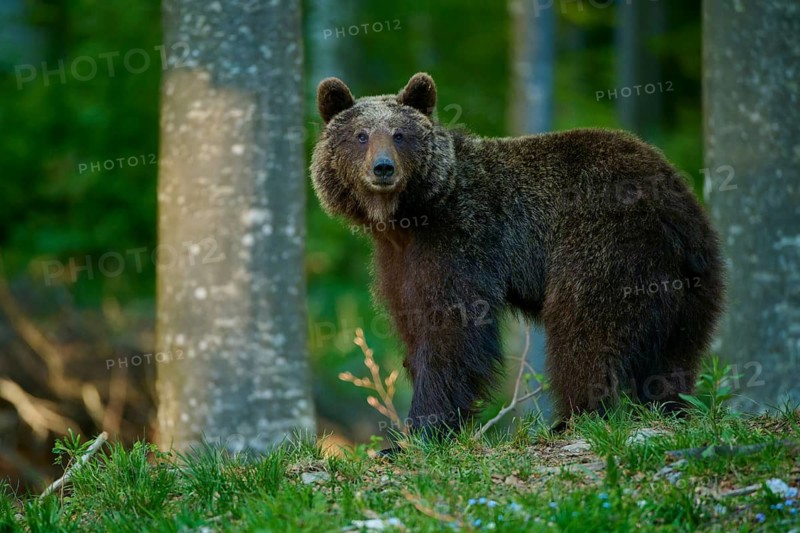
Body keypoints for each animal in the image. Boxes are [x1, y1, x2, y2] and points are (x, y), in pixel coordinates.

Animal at [310, 72, 725, 435]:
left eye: (399, 134)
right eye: (360, 135)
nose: (383, 168)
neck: (409, 216)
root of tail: (675, 205)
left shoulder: (461, 240)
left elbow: (452, 328)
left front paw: (421, 429)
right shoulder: (398, 262)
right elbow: (412, 321)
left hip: (607, 245)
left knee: (585, 329)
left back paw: (573, 418)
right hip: (693, 280)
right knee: (675, 352)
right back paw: (669, 405)